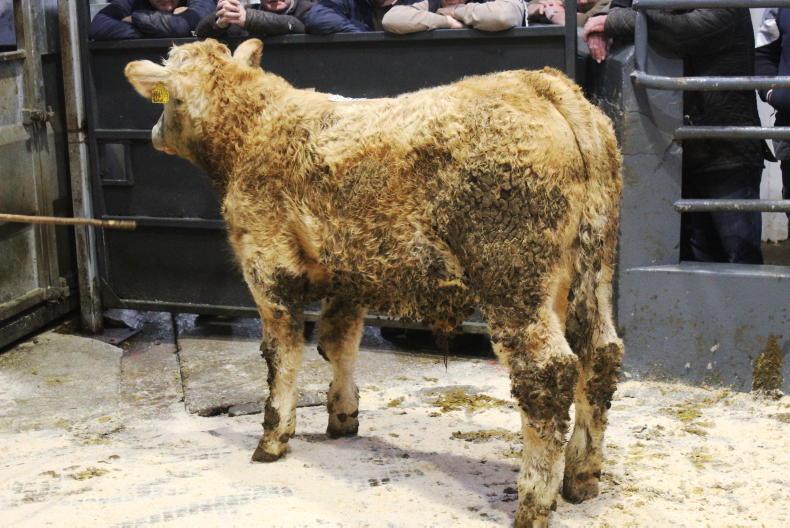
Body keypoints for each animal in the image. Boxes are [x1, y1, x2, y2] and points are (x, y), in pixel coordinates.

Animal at [125, 38, 624, 527]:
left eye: (166, 98)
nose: (152, 133)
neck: (255, 125)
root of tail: (540, 83)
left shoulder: (267, 261)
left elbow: (281, 353)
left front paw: (273, 438)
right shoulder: (350, 275)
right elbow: (338, 342)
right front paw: (343, 417)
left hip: (513, 276)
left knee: (548, 372)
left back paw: (533, 502)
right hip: (594, 271)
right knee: (600, 355)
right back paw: (581, 477)